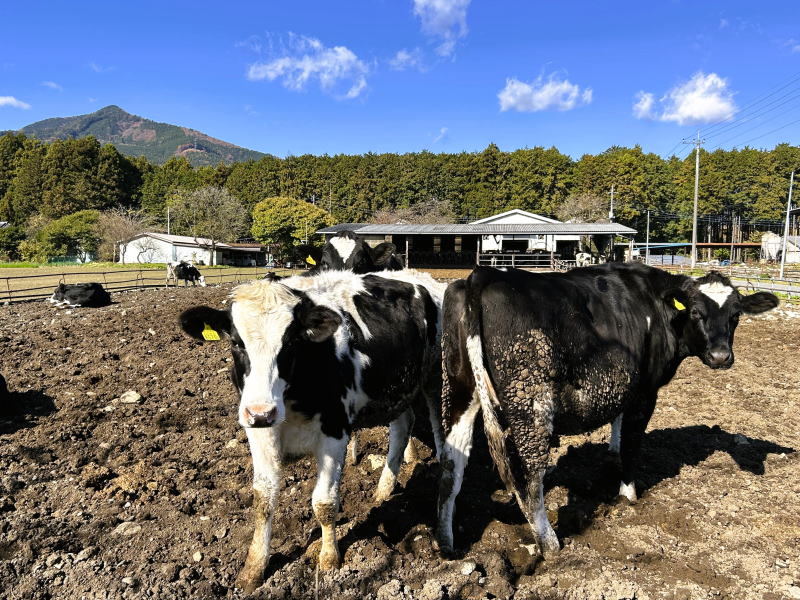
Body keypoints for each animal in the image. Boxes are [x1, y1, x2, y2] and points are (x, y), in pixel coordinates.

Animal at [179, 269, 445, 593]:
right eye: (237, 343)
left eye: (291, 342)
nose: (261, 412)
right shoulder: (260, 431)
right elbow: (263, 500)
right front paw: (253, 569)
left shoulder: (334, 432)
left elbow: (324, 503)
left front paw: (329, 559)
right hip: (395, 390)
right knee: (402, 425)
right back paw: (383, 490)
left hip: (434, 376)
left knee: (434, 423)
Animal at [436, 263, 778, 559]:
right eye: (696, 311)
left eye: (736, 315)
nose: (721, 356)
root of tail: (485, 274)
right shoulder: (645, 391)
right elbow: (632, 444)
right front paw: (628, 496)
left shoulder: (624, 387)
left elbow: (617, 427)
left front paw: (611, 457)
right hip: (531, 402)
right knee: (531, 477)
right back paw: (550, 544)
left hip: (460, 392)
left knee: (451, 466)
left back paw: (446, 543)